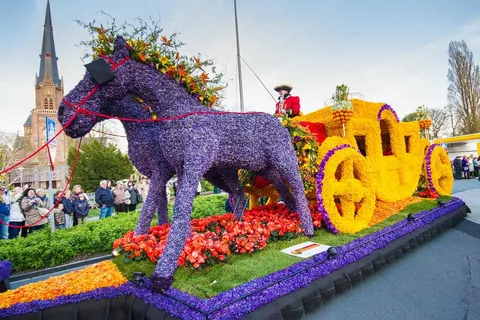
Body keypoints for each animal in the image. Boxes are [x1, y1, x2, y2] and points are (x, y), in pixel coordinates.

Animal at [57, 36, 316, 292]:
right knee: (253, 194)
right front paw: (147, 242)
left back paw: (308, 227)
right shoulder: (177, 170)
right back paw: (247, 225)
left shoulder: (187, 166)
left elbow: (175, 208)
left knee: (297, 187)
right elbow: (161, 209)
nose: (63, 113)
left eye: (98, 73)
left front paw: (163, 270)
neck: (174, 115)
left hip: (283, 160)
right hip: (254, 169)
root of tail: (279, 122)